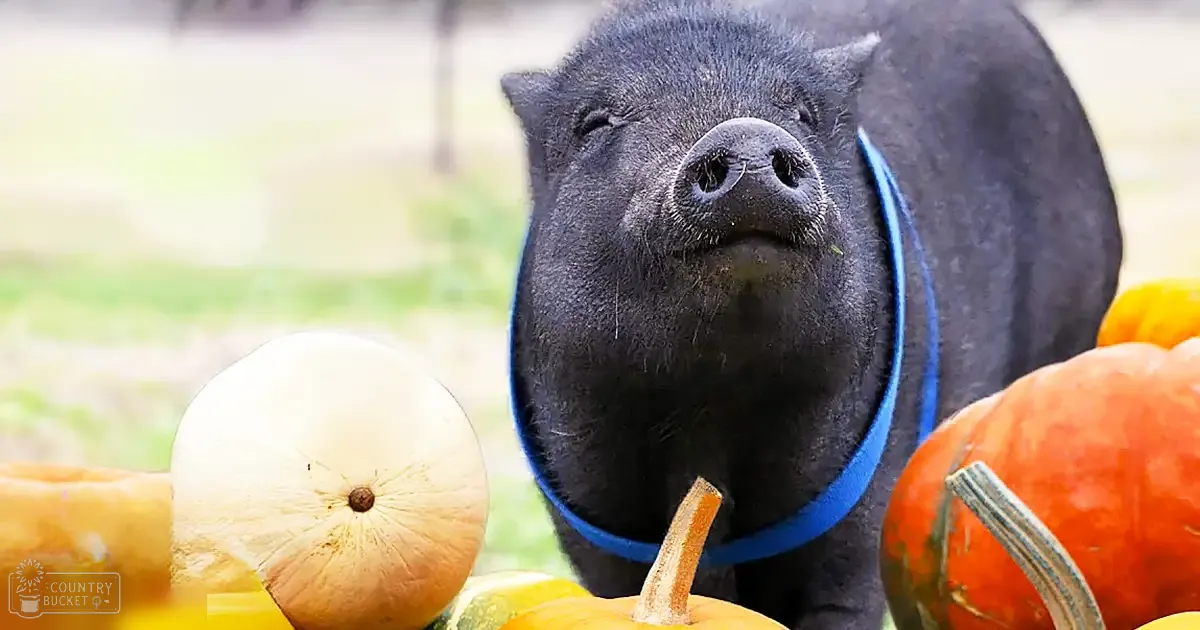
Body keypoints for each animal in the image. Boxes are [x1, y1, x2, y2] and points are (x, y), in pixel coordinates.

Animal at [500, 0, 1123, 627]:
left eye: (802, 113)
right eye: (596, 122)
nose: (747, 140)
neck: (712, 407)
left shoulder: (864, 507)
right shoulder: (589, 515)